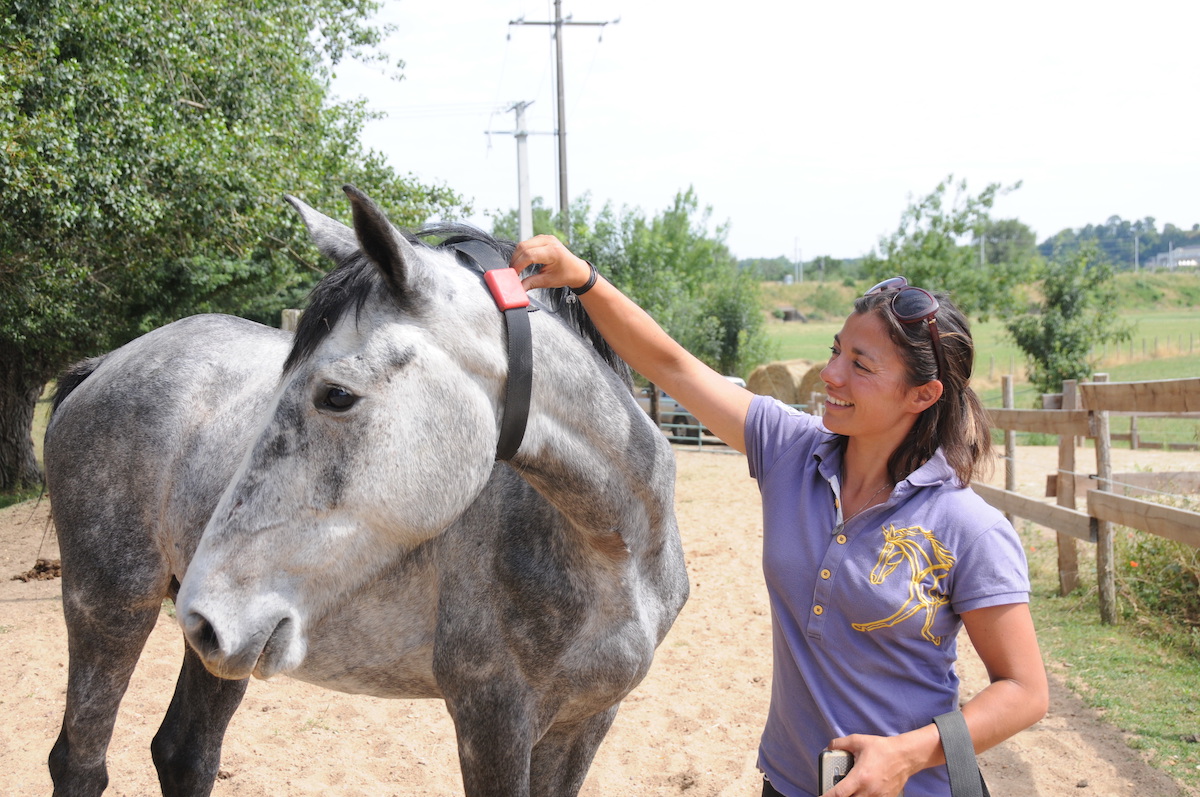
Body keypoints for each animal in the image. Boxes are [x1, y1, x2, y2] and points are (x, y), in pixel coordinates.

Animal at [42, 187, 691, 797]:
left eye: (336, 395)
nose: (206, 611)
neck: (614, 549)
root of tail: (108, 364)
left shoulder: (587, 720)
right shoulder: (493, 719)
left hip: (219, 650)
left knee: (185, 755)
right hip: (112, 606)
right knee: (80, 762)